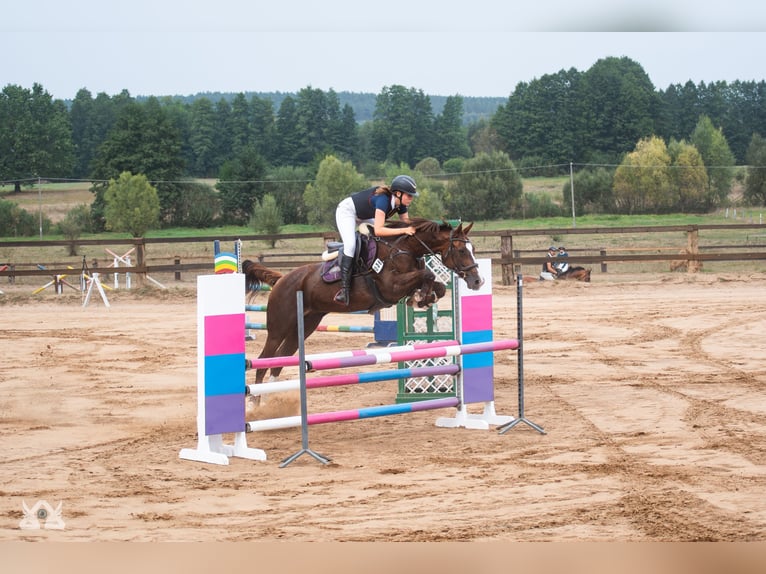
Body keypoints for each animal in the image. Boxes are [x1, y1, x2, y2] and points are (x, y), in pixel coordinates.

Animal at [244, 220, 486, 388]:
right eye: (462, 250)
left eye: (473, 250)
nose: (477, 281)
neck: (405, 249)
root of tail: (281, 280)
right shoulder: (390, 288)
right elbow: (427, 274)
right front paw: (421, 298)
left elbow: (437, 285)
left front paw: (422, 299)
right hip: (279, 326)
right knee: (263, 360)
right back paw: (256, 403)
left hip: (306, 325)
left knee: (279, 360)